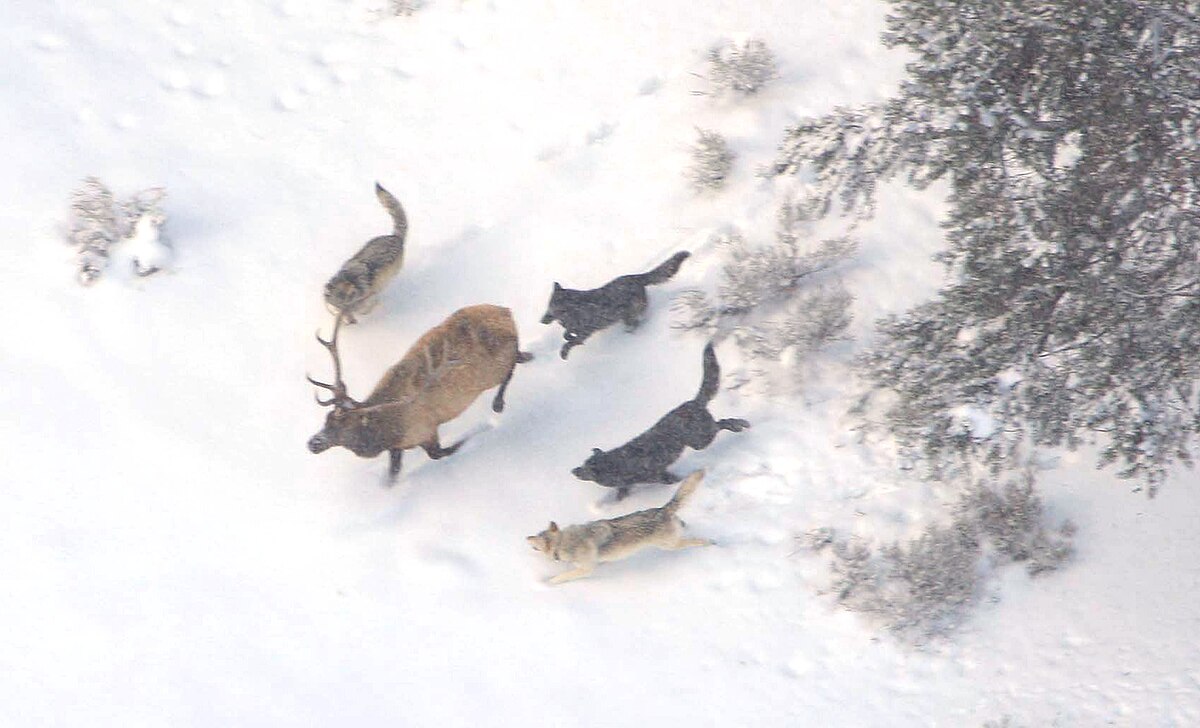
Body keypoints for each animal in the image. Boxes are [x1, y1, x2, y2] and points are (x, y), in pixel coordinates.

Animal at [324, 183, 407, 323]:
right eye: (338, 309)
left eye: (348, 308)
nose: (351, 322)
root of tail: (394, 236)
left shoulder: (371, 297)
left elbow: (369, 306)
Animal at [527, 470, 713, 584]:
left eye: (535, 540)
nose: (526, 538)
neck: (564, 542)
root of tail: (663, 510)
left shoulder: (585, 570)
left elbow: (562, 577)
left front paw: (547, 583)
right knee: (683, 525)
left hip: (670, 546)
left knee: (696, 541)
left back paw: (711, 543)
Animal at [540, 250, 690, 359]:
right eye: (548, 305)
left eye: (552, 307)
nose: (542, 320)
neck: (573, 310)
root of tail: (637, 277)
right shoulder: (576, 329)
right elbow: (566, 335)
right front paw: (569, 336)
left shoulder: (586, 331)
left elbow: (569, 343)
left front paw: (564, 352)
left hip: (629, 315)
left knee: (636, 323)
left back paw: (630, 334)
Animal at [572, 342, 749, 499]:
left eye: (585, 468)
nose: (573, 471)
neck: (615, 464)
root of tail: (692, 402)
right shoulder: (630, 484)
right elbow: (622, 493)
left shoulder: (658, 475)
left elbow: (672, 480)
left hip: (700, 440)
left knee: (722, 422)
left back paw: (739, 425)